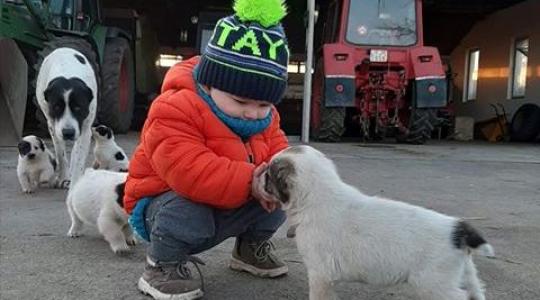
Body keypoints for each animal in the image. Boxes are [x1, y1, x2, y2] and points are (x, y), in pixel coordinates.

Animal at [35, 47, 98, 188]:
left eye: (78, 108)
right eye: (57, 107)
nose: (68, 132)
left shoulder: (85, 128)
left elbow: (79, 155)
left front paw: (75, 183)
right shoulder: (53, 126)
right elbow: (60, 153)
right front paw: (64, 177)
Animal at [262, 145, 494, 300]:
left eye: (270, 175)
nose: (260, 171)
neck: (317, 196)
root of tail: (460, 229)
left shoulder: (320, 274)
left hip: (434, 284)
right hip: (465, 274)